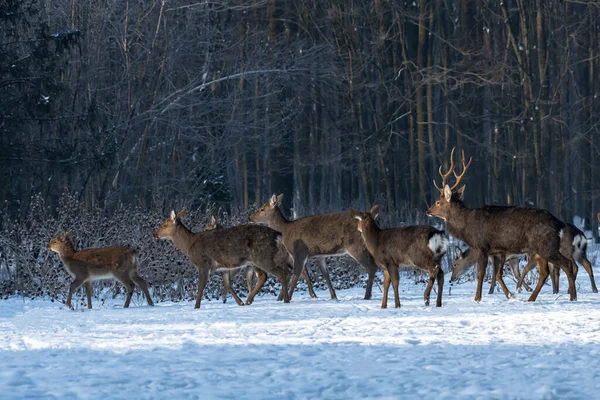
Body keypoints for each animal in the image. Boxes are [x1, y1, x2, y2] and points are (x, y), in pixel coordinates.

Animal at [426, 148, 576, 302]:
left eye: (438, 202)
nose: (428, 211)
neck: (466, 227)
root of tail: (558, 223)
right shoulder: (498, 252)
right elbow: (498, 274)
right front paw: (509, 295)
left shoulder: (482, 246)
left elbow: (481, 274)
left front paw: (477, 298)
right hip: (540, 250)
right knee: (546, 272)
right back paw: (533, 298)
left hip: (546, 246)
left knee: (567, 264)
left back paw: (572, 297)